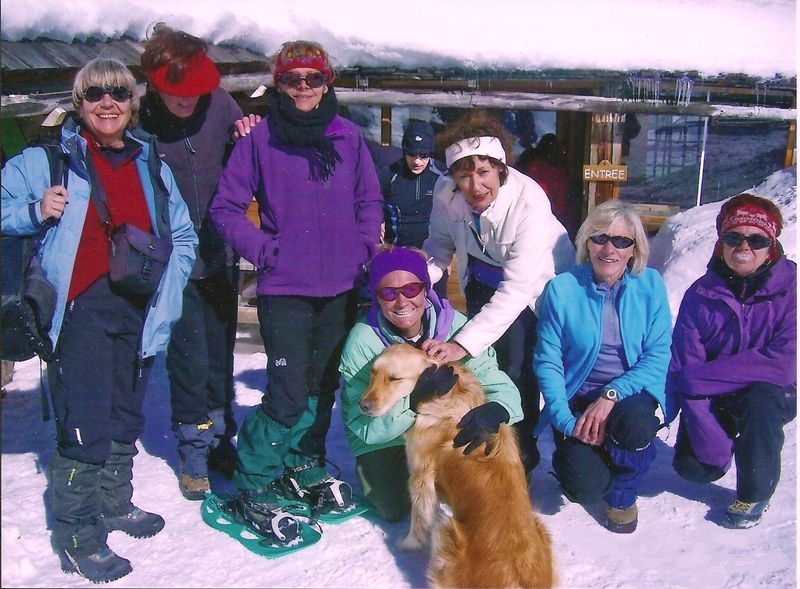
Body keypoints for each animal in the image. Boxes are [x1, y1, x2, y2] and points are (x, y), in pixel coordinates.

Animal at [360, 342, 556, 584]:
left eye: (395, 379)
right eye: (373, 372)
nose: (362, 405)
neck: (448, 395)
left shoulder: (419, 477)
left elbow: (419, 519)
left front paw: (408, 544)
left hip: (445, 533)